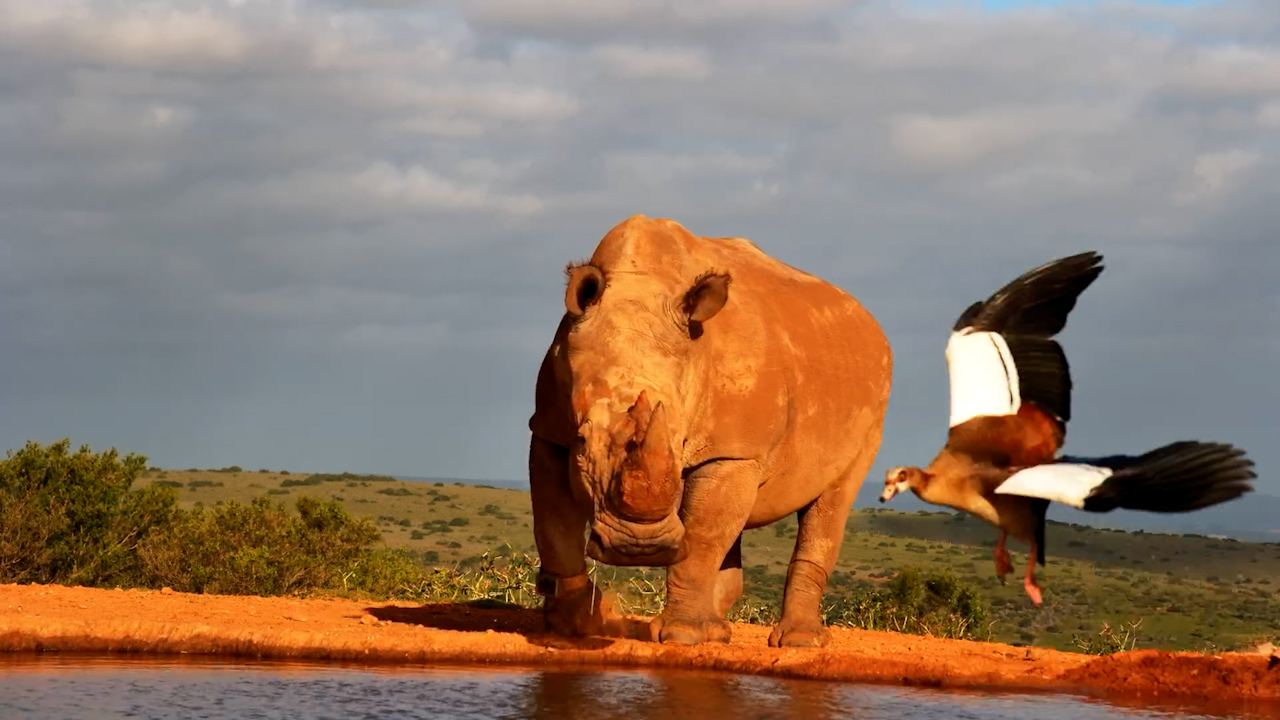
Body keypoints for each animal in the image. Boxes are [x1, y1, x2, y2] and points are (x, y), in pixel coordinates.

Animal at [528, 215, 892, 647]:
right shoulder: (549, 426)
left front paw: (683, 637)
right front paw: (573, 628)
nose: (639, 548)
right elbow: (553, 526)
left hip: (872, 402)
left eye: (680, 440)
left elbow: (702, 538)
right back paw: (717, 632)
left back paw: (797, 642)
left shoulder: (734, 449)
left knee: (833, 498)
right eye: (582, 442)